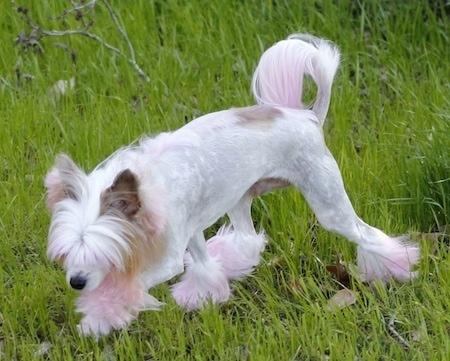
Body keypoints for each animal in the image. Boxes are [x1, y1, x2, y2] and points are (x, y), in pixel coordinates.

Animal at [44, 33, 420, 334]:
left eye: (102, 255)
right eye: (66, 252)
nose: (76, 282)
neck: (146, 187)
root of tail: (308, 117)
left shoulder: (167, 257)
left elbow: (126, 287)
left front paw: (97, 317)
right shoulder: (190, 229)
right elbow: (202, 264)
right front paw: (203, 294)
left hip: (328, 204)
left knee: (366, 234)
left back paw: (396, 267)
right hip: (241, 196)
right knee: (248, 236)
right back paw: (237, 257)